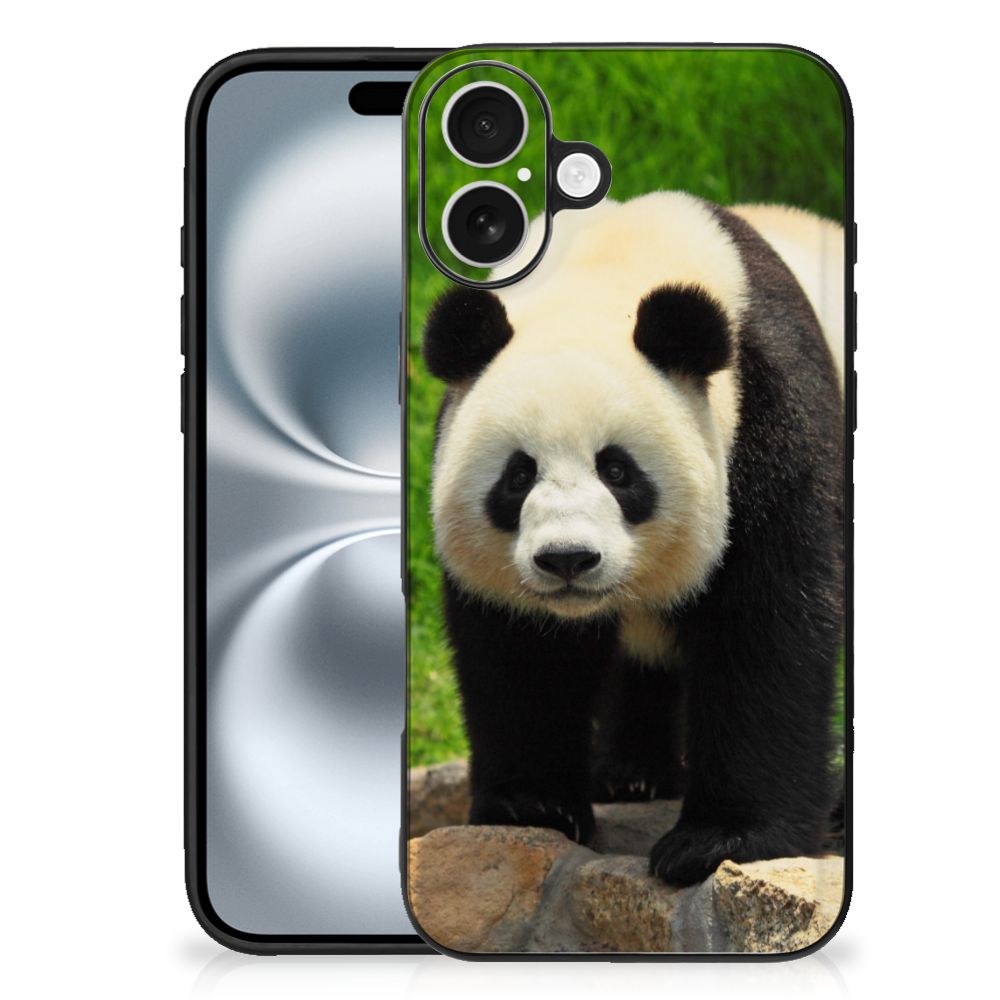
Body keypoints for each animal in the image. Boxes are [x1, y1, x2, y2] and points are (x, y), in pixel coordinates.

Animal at [420, 191, 844, 887]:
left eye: (617, 471)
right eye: (518, 475)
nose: (567, 559)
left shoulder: (770, 417)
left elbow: (768, 625)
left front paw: (719, 841)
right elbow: (521, 651)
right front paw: (533, 806)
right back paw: (631, 775)